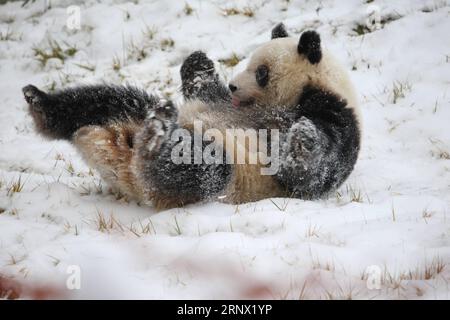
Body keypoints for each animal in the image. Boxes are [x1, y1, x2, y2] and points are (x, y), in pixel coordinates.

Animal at [22, 23, 362, 211]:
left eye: (262, 72)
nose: (234, 84)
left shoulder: (338, 116)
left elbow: (312, 173)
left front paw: (303, 138)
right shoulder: (221, 102)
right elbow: (204, 90)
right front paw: (199, 64)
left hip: (229, 178)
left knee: (205, 169)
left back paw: (155, 142)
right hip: (136, 109)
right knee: (107, 99)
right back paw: (40, 104)